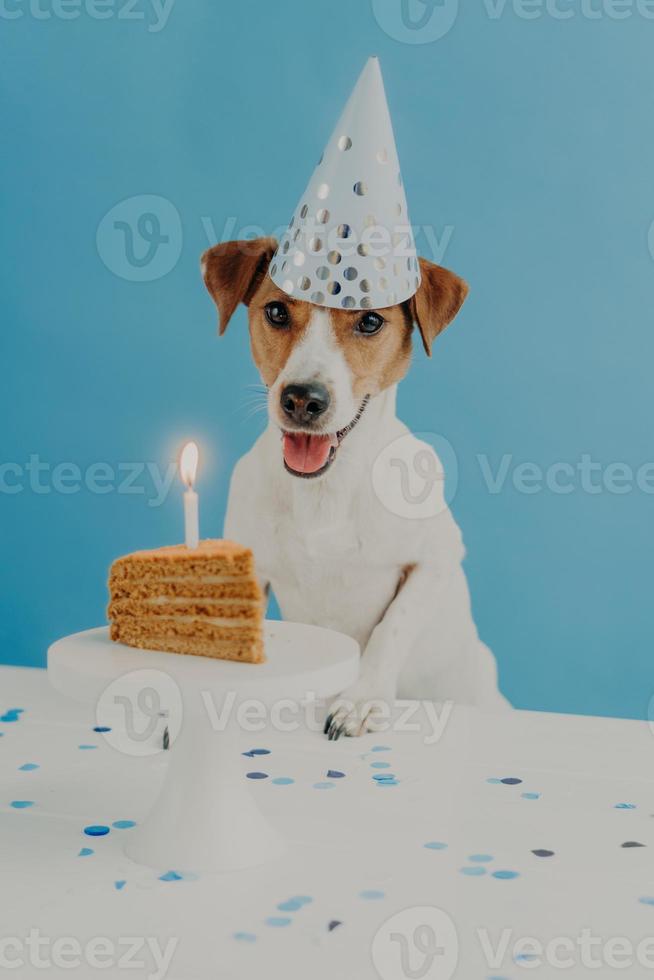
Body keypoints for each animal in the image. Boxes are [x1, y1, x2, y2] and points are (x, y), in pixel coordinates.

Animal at [202, 241, 510, 740]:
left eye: (369, 321)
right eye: (276, 311)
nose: (303, 399)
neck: (324, 491)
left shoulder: (438, 558)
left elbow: (392, 628)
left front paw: (361, 700)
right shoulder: (251, 570)